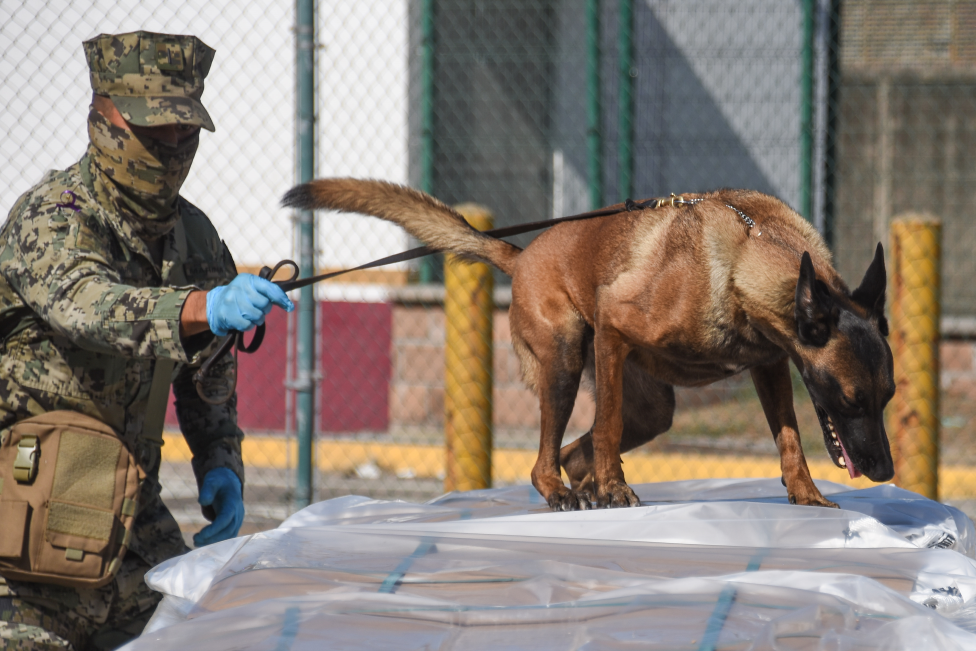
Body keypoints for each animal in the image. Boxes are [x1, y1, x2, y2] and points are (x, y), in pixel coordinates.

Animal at [282, 181, 892, 512]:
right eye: (851, 399)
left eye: (886, 398)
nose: (886, 471)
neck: (746, 255)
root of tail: (521, 255)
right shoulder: (615, 326)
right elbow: (607, 426)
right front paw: (617, 489)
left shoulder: (770, 368)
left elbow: (789, 438)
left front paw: (806, 493)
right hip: (568, 357)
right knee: (550, 457)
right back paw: (567, 489)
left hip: (653, 406)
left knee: (577, 451)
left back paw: (588, 488)